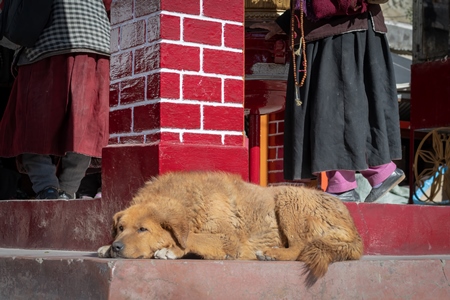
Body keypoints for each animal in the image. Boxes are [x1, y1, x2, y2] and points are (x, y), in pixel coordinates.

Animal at [98, 171, 362, 286]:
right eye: (120, 228)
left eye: (143, 229)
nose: (117, 247)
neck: (193, 203)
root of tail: (354, 230)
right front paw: (103, 247)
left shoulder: (229, 240)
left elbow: (193, 237)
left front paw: (171, 248)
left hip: (288, 197)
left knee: (300, 246)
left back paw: (273, 253)